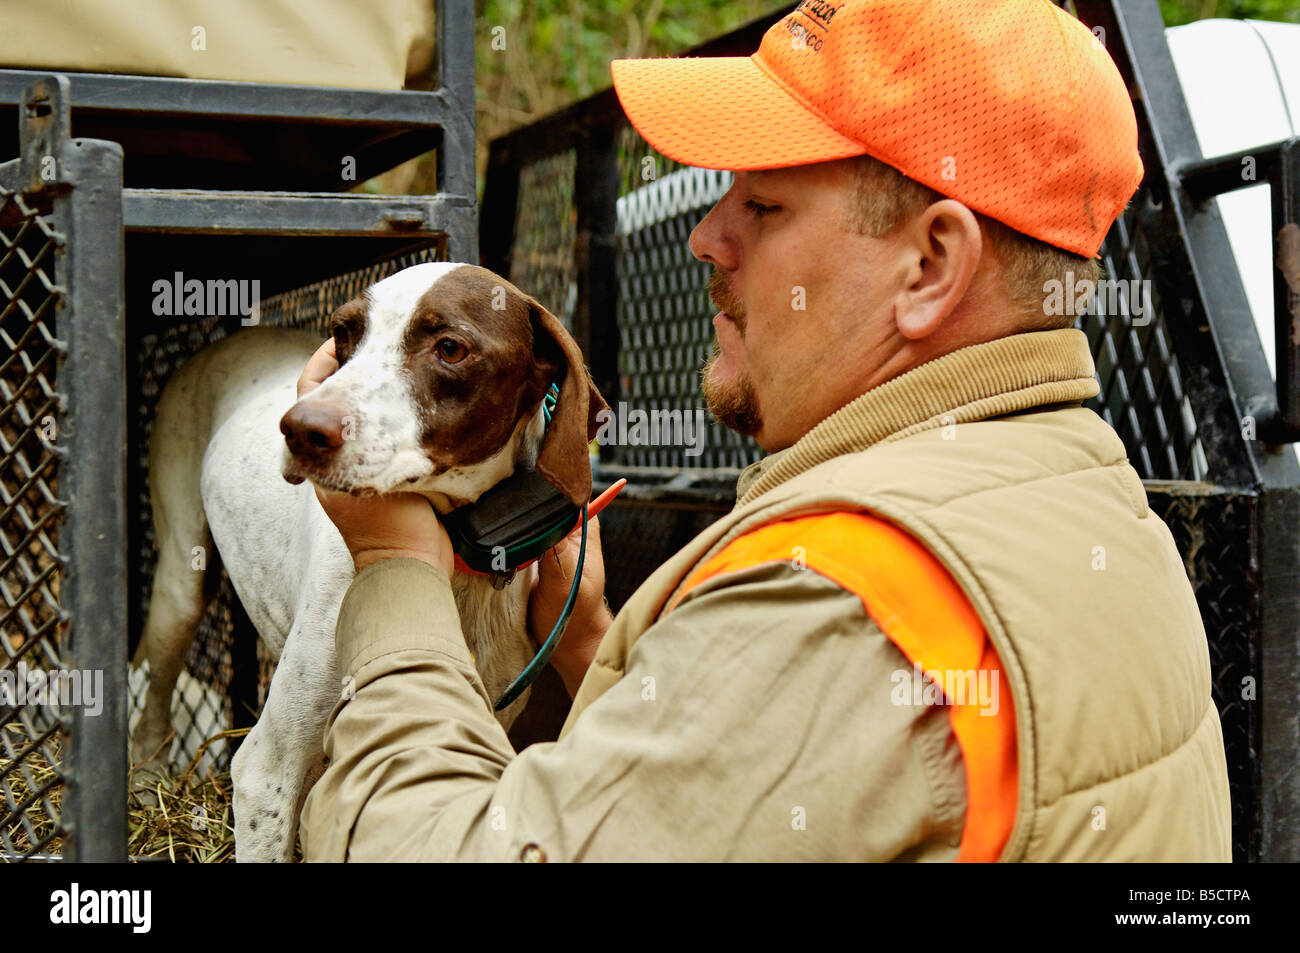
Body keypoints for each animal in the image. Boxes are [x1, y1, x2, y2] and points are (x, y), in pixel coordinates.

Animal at [129, 262, 605, 863]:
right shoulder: (265, 771)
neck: (453, 575)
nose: (300, 428)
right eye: (344, 332)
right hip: (181, 586)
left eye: (451, 348)